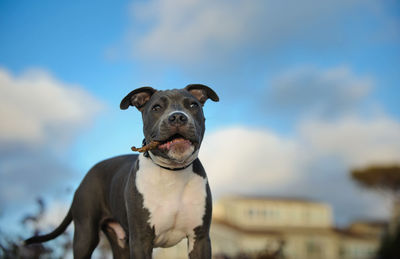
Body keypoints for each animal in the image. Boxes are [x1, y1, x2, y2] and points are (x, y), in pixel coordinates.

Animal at [24, 84, 219, 258]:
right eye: (157, 107)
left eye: (193, 105)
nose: (178, 117)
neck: (172, 171)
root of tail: (87, 175)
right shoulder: (141, 240)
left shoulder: (200, 239)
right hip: (85, 236)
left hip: (119, 243)